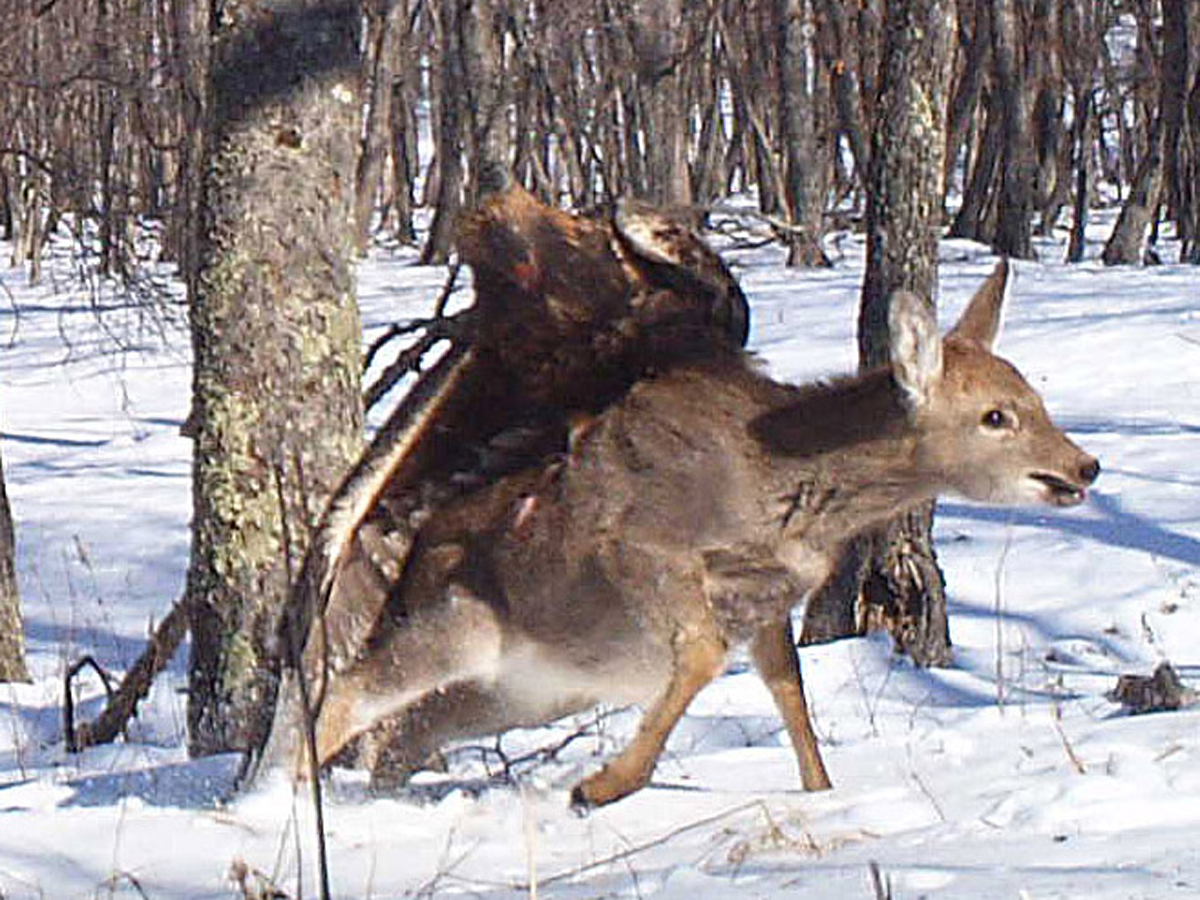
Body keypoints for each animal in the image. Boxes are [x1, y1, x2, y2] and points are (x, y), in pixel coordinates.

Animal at [270, 262, 1099, 811]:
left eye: (1032, 395)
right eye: (996, 415)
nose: (1082, 466)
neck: (780, 489)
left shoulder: (766, 599)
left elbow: (789, 689)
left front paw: (822, 793)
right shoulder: (638, 546)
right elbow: (700, 656)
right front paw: (604, 785)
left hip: (530, 689)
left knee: (403, 738)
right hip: (458, 623)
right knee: (349, 693)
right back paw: (285, 804)